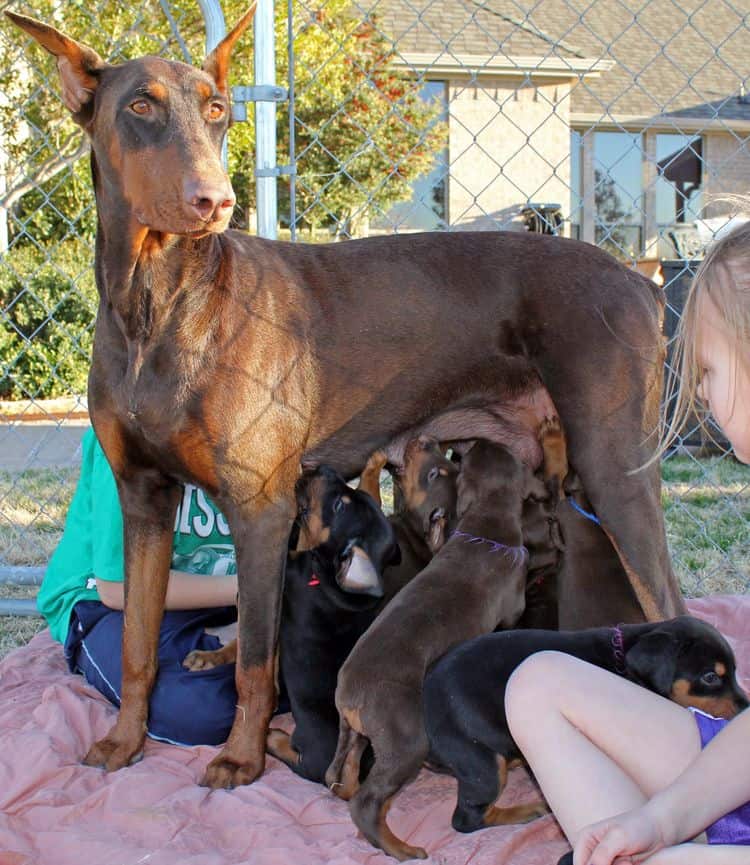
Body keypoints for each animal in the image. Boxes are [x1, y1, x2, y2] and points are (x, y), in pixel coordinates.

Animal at [5, 6, 688, 788]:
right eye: (139, 107)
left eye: (217, 110)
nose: (215, 200)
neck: (158, 301)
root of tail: (639, 278)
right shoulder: (143, 497)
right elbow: (139, 645)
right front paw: (124, 741)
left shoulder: (260, 507)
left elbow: (257, 663)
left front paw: (241, 756)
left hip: (614, 470)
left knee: (670, 599)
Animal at [328, 442, 536, 860]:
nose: (425, 441)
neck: (484, 527)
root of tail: (349, 696)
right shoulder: (510, 611)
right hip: (408, 739)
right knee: (366, 804)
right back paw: (401, 849)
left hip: (359, 735)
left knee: (348, 778)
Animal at [426, 612, 748, 832]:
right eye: (710, 677)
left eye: (734, 671)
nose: (747, 708)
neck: (623, 662)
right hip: (484, 766)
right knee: (466, 819)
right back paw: (528, 810)